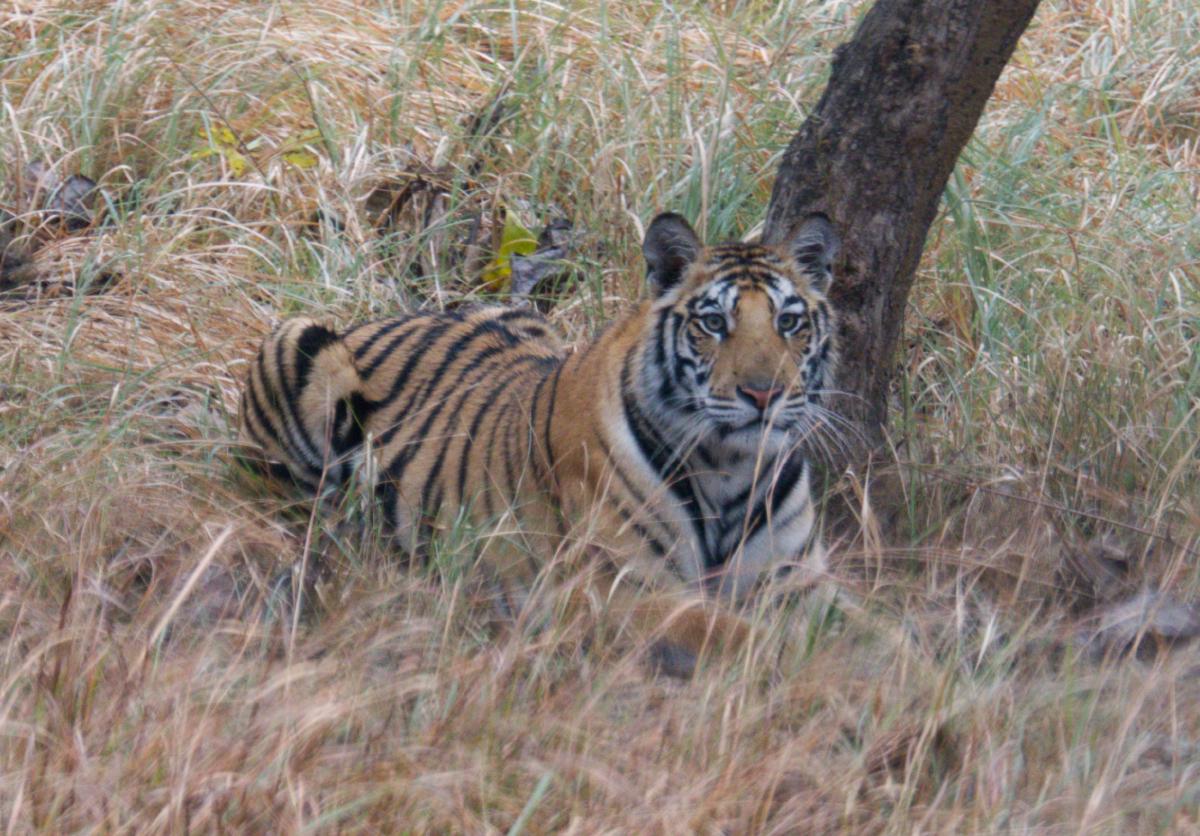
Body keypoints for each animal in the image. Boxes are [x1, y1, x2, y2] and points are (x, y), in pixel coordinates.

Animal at [238, 211, 840, 672]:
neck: (731, 464)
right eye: (713, 322)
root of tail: (392, 315)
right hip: (299, 343)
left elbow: (849, 626)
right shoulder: (618, 588)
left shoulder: (801, 582)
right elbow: (736, 634)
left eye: (789, 322)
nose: (763, 393)